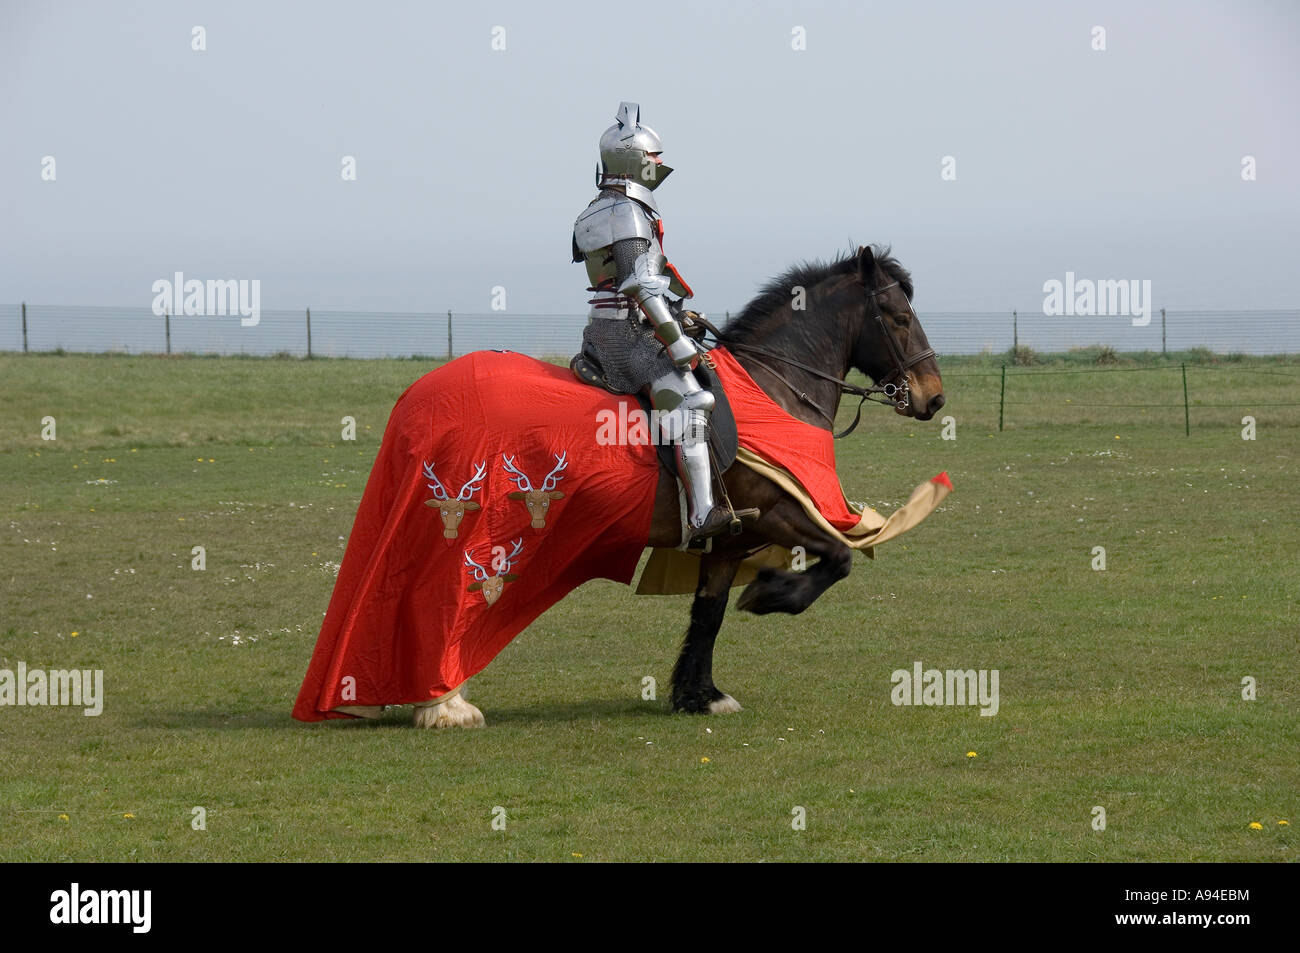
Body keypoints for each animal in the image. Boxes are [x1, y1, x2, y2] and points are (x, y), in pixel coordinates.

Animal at [418, 241, 946, 722]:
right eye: (899, 316)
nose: (934, 398)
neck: (773, 388)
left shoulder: (731, 541)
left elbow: (708, 613)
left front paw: (700, 695)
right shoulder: (777, 513)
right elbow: (838, 558)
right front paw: (769, 595)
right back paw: (444, 704)